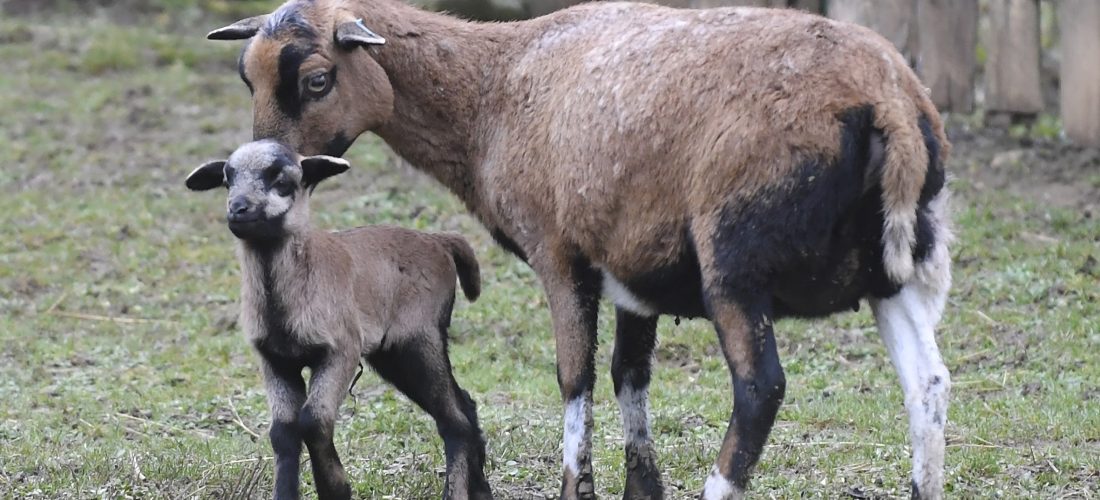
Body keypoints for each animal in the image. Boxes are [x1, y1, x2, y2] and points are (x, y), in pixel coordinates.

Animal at [187, 140, 492, 500]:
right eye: (226, 180)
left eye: (282, 181)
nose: (238, 209)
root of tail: (438, 240)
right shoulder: (275, 360)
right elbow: (283, 431)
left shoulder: (340, 350)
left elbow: (313, 420)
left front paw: (336, 487)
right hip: (392, 354)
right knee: (465, 403)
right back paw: (481, 489)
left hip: (419, 337)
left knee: (454, 419)